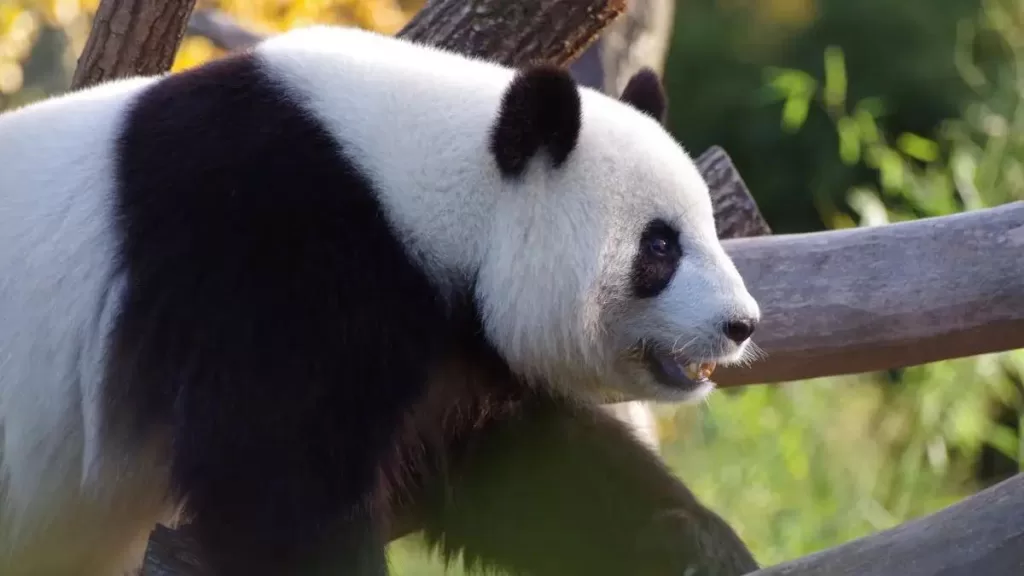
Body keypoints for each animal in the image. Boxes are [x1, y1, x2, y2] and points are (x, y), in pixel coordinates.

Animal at [0, 25, 760, 576]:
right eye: (659, 247)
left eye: (707, 225)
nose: (741, 325)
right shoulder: (274, 259)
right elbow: (276, 487)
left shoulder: (449, 345)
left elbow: (526, 466)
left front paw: (697, 544)